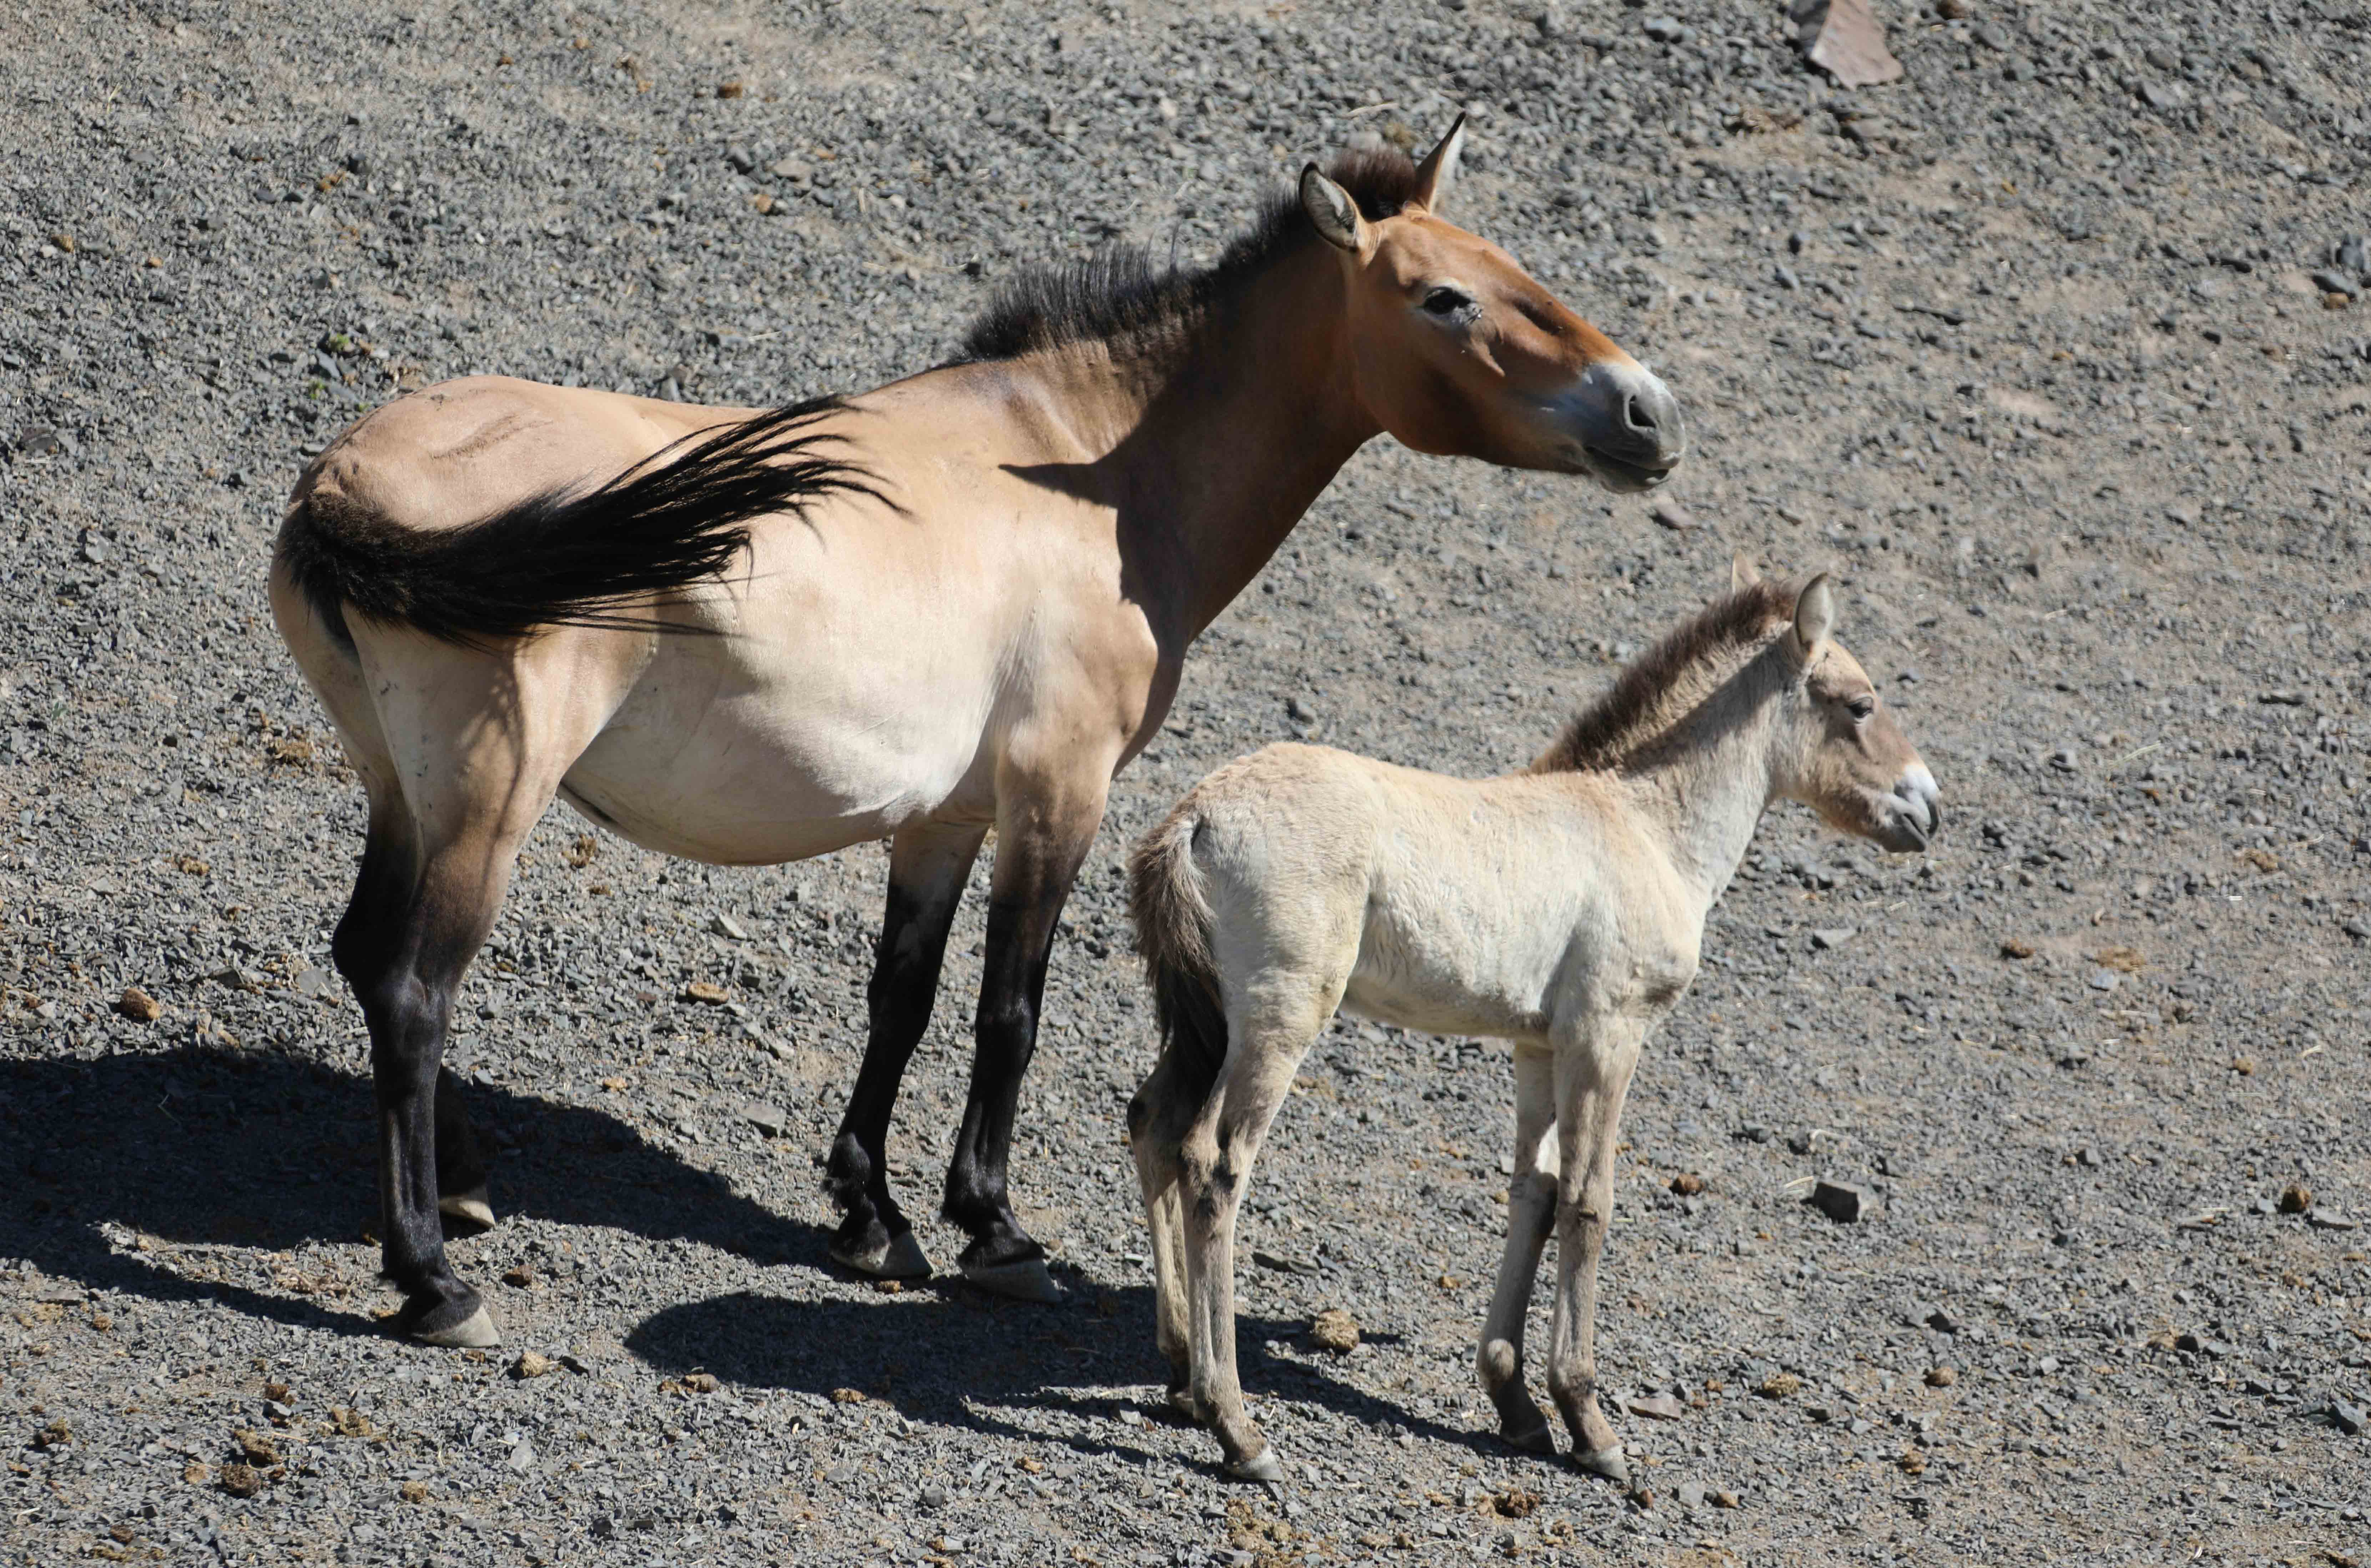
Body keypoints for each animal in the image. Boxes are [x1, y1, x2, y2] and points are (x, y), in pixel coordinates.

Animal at [272, 122, 1688, 1347]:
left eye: (1515, 269)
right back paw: (432, 1276)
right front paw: (994, 1232)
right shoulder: (1055, 795)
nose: (1648, 415)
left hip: (404, 791)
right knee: (415, 994)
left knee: (367, 959)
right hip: (490, 801)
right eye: (1445, 299)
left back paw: (463, 1186)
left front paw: (870, 1216)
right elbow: (1011, 1007)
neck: (1091, 475)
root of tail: (346, 479)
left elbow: (901, 999)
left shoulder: (943, 819)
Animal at [1129, 564, 1944, 1480]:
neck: (1645, 828)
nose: (1928, 808)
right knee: (1214, 1164)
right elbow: (1591, 1202)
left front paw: (1515, 1403)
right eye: (1860, 703)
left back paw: (1178, 1372)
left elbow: (1536, 1194)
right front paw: (1590, 1422)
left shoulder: (1537, 1046)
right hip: (1278, 1021)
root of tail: (1194, 818)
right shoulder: (1607, 1035)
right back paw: (1236, 1425)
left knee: (1154, 1124)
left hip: (1205, 1021)